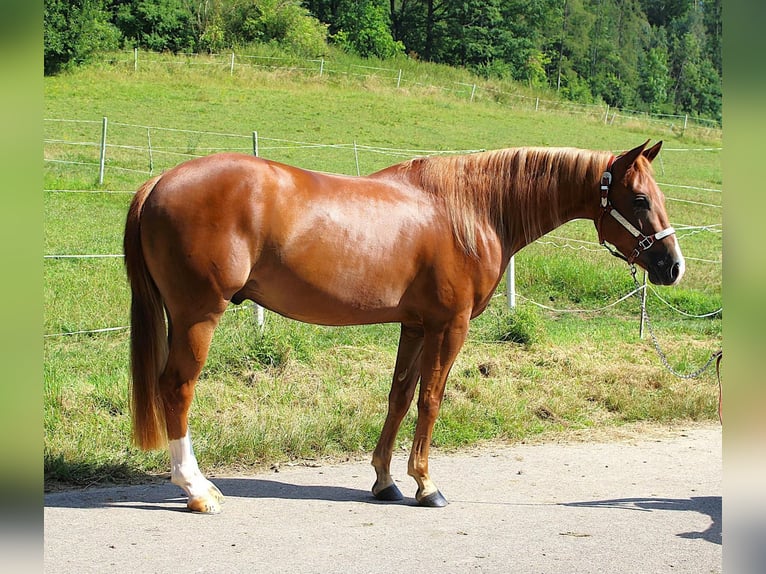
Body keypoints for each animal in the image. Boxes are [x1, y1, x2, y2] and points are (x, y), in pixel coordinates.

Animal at [124, 140, 684, 512]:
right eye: (639, 199)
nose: (672, 266)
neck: (472, 210)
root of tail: (159, 182)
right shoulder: (449, 327)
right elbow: (431, 399)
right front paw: (426, 484)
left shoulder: (414, 326)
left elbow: (398, 396)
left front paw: (384, 481)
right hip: (199, 316)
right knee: (177, 389)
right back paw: (197, 489)